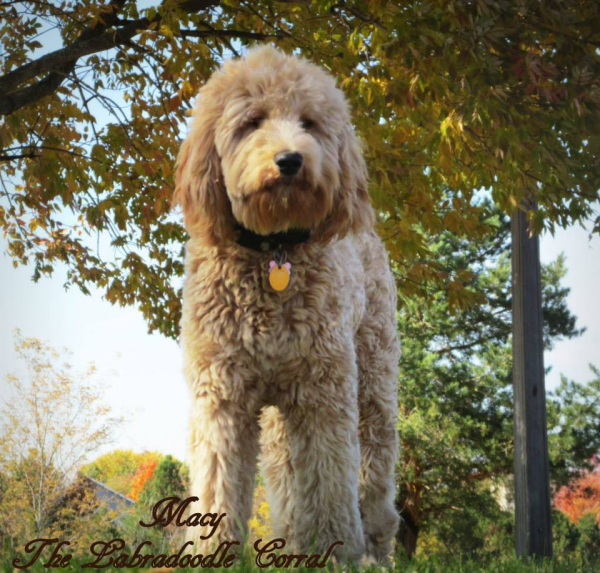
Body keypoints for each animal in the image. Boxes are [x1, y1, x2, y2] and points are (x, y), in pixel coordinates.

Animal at [172, 45, 398, 564]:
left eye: (310, 123)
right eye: (252, 121)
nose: (290, 159)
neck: (273, 249)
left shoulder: (324, 395)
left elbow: (330, 481)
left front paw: (335, 553)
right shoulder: (222, 395)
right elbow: (218, 481)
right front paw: (211, 556)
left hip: (372, 385)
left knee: (372, 477)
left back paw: (373, 548)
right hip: (279, 415)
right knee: (288, 476)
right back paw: (293, 543)